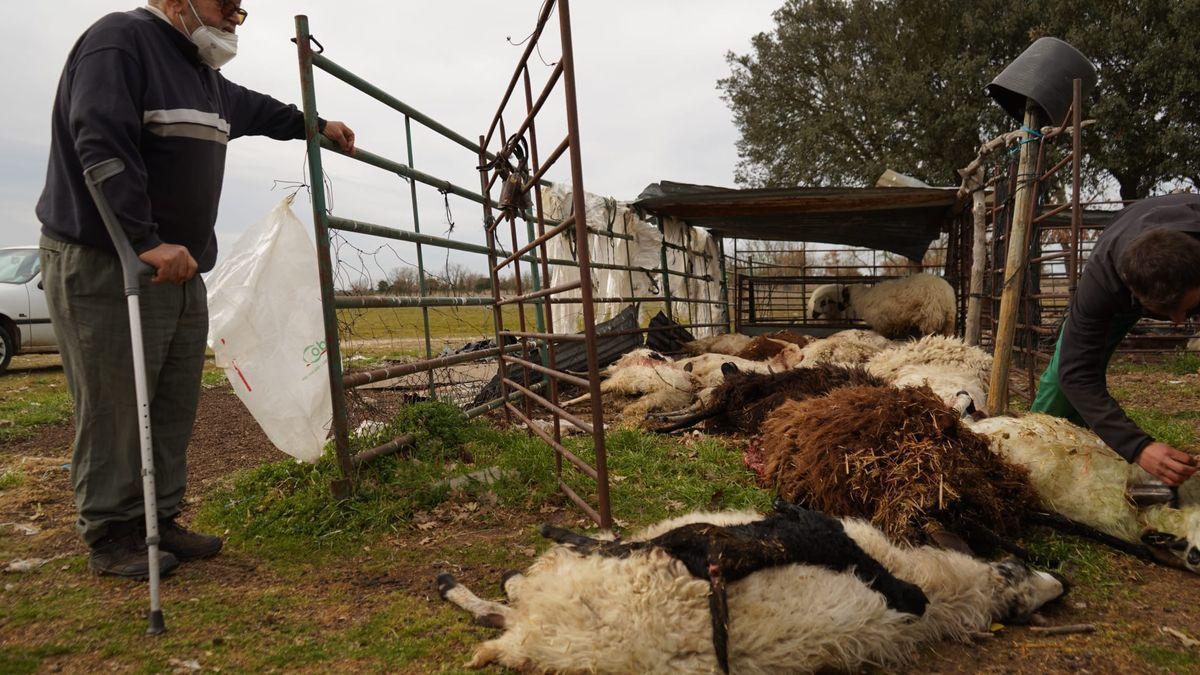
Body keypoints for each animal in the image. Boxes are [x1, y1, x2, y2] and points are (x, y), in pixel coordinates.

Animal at [806, 271, 955, 336]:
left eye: (843, 295)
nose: (840, 307)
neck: (862, 298)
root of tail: (946, 293)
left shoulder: (881, 322)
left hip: (930, 315)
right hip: (949, 320)